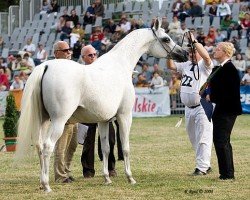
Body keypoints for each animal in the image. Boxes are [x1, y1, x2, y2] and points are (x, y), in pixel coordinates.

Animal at [15, 19, 188, 192]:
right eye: (166, 39)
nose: (184, 54)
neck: (120, 65)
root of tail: (46, 66)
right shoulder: (125, 116)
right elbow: (125, 148)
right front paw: (130, 178)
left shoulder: (103, 121)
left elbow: (105, 148)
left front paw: (107, 178)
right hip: (58, 121)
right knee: (47, 147)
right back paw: (47, 185)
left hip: (43, 120)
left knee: (39, 146)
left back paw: (41, 183)